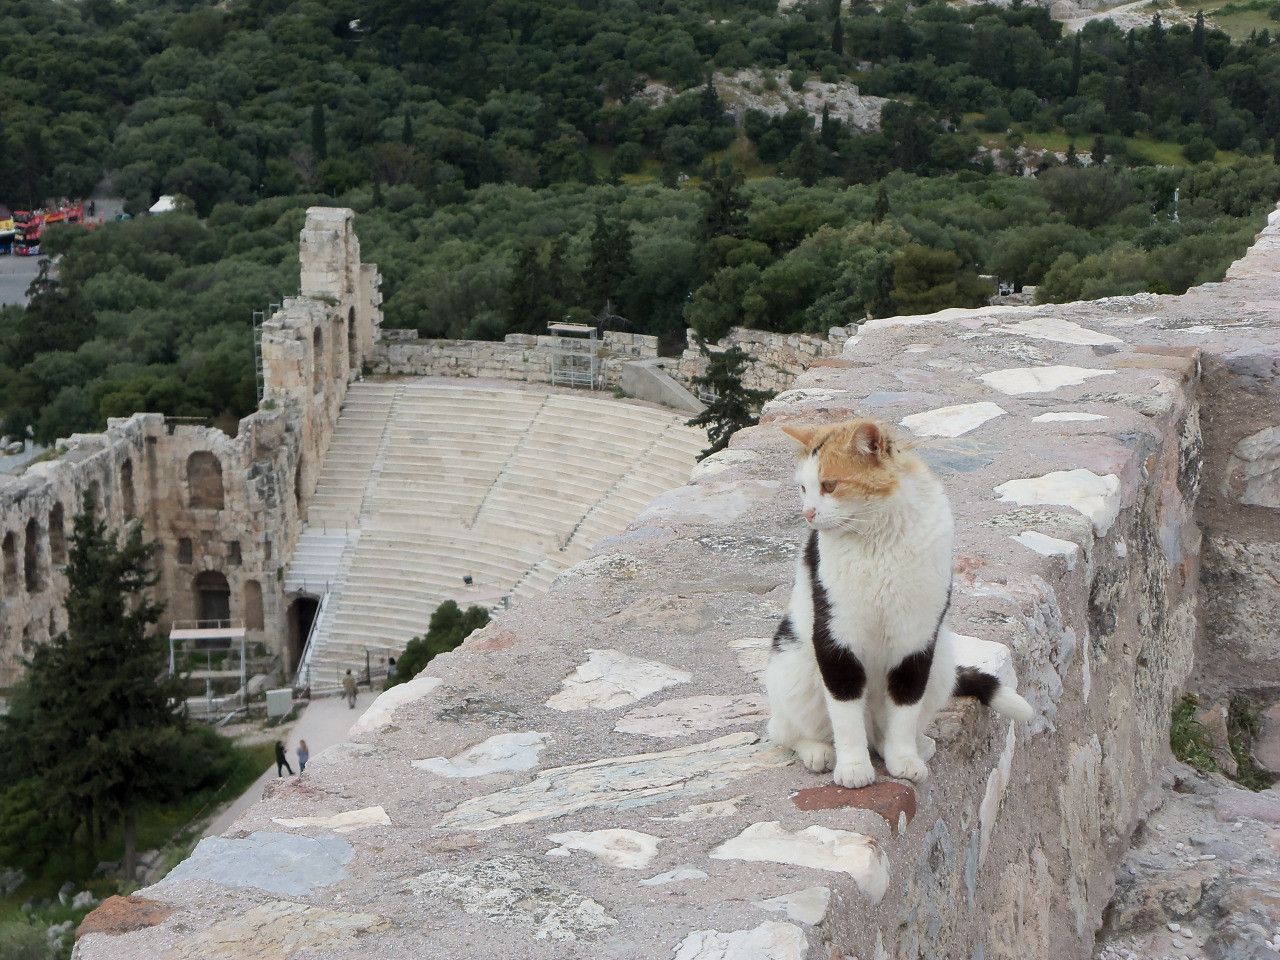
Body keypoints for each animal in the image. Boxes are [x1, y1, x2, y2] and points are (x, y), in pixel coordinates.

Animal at [762, 419, 1034, 788]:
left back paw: (912, 745)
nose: (807, 513)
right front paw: (853, 766)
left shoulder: (916, 639)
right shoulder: (836, 638)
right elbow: (845, 712)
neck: (878, 539)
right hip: (794, 666)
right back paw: (818, 751)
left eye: (830, 485)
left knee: (886, 728)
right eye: (803, 488)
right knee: (785, 730)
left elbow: (905, 704)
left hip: (940, 662)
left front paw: (903, 757)